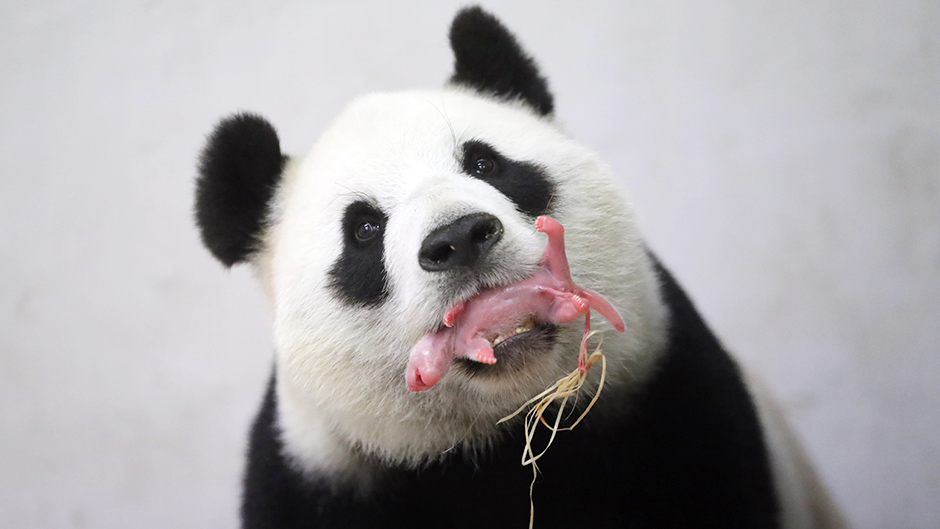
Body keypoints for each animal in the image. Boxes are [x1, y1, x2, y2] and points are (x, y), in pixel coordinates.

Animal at [195, 6, 845, 529]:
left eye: (485, 164)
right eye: (363, 229)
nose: (458, 238)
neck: (501, 436)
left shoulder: (674, 400)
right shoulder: (319, 474)